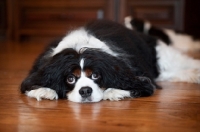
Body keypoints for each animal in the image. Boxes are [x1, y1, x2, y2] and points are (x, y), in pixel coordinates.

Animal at [20, 18, 200, 103]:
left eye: (95, 76)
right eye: (70, 78)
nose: (85, 91)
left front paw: (114, 91)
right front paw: (44, 90)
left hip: (161, 56)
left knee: (181, 63)